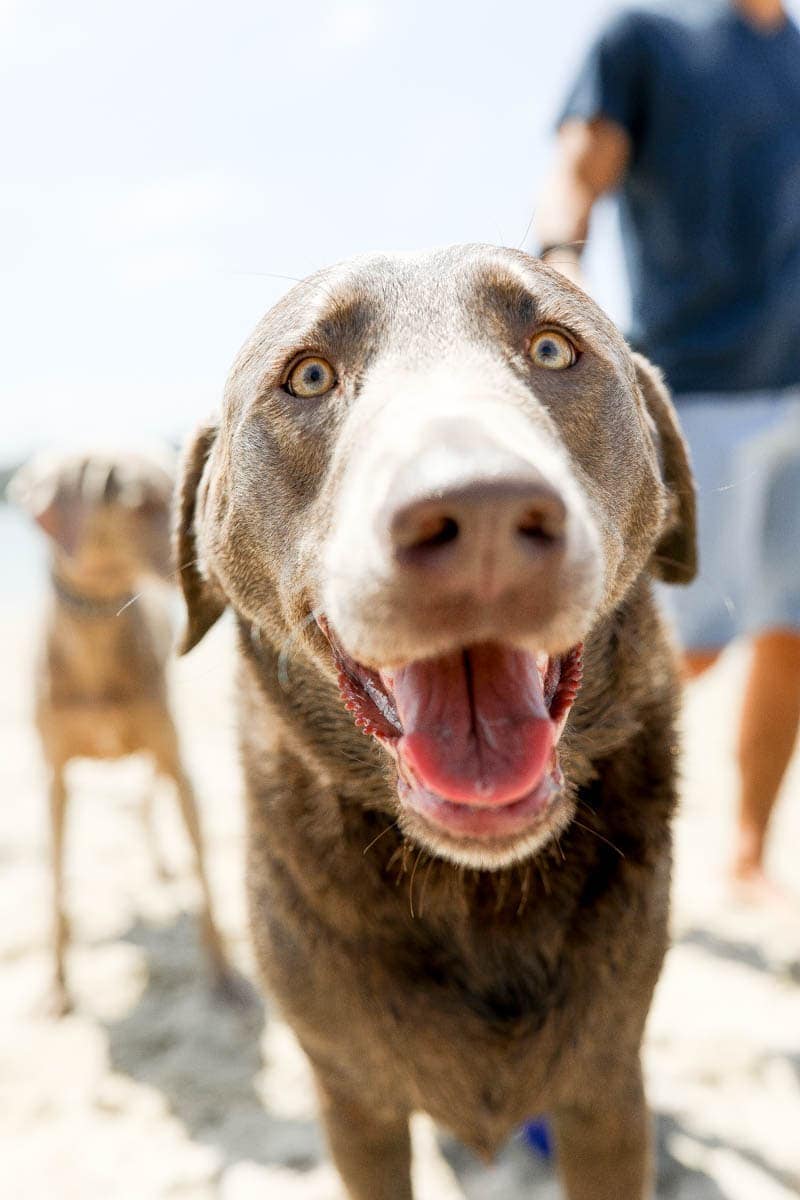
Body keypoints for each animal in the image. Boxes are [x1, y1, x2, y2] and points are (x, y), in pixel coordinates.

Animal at [10, 448, 241, 1012]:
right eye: (138, 505)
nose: (206, 551)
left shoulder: (177, 760)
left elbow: (205, 880)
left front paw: (224, 976)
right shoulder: (54, 778)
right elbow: (56, 888)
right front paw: (58, 987)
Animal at [175, 246, 695, 1200]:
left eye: (553, 350)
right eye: (309, 375)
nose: (482, 510)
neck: (473, 886)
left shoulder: (606, 1092)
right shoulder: (354, 1101)